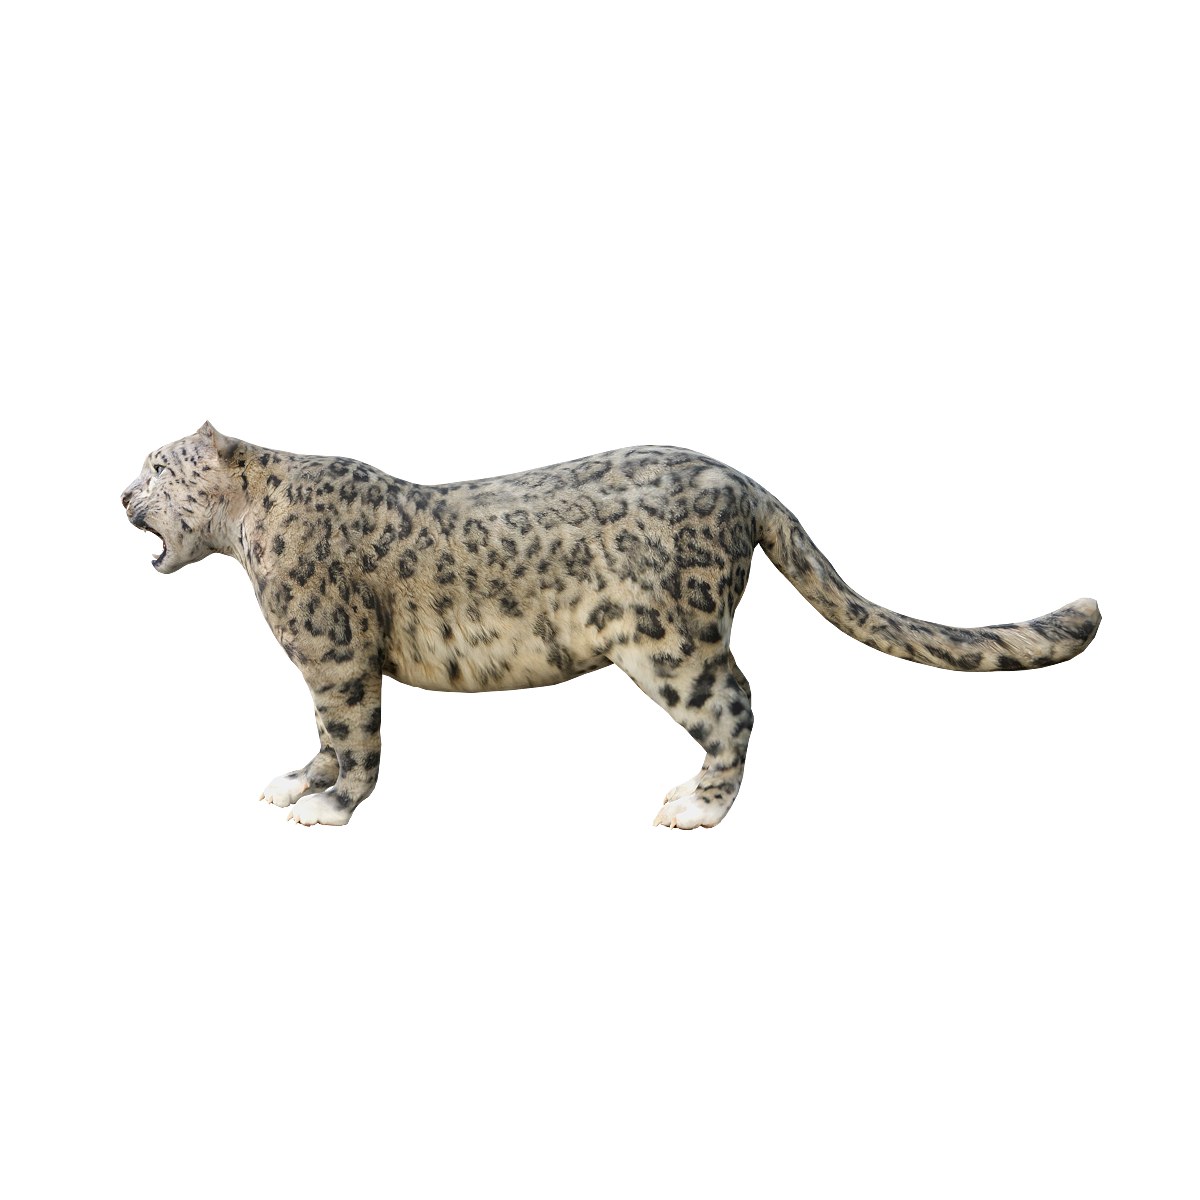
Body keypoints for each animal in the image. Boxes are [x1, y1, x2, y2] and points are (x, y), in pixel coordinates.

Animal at [120, 422, 1101, 830]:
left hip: (670, 640)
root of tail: (743, 482)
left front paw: (327, 806)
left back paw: (694, 808)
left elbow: (352, 736)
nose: (125, 497)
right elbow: (324, 738)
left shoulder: (336, 654)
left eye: (162, 465)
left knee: (734, 707)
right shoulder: (325, 668)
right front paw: (298, 786)